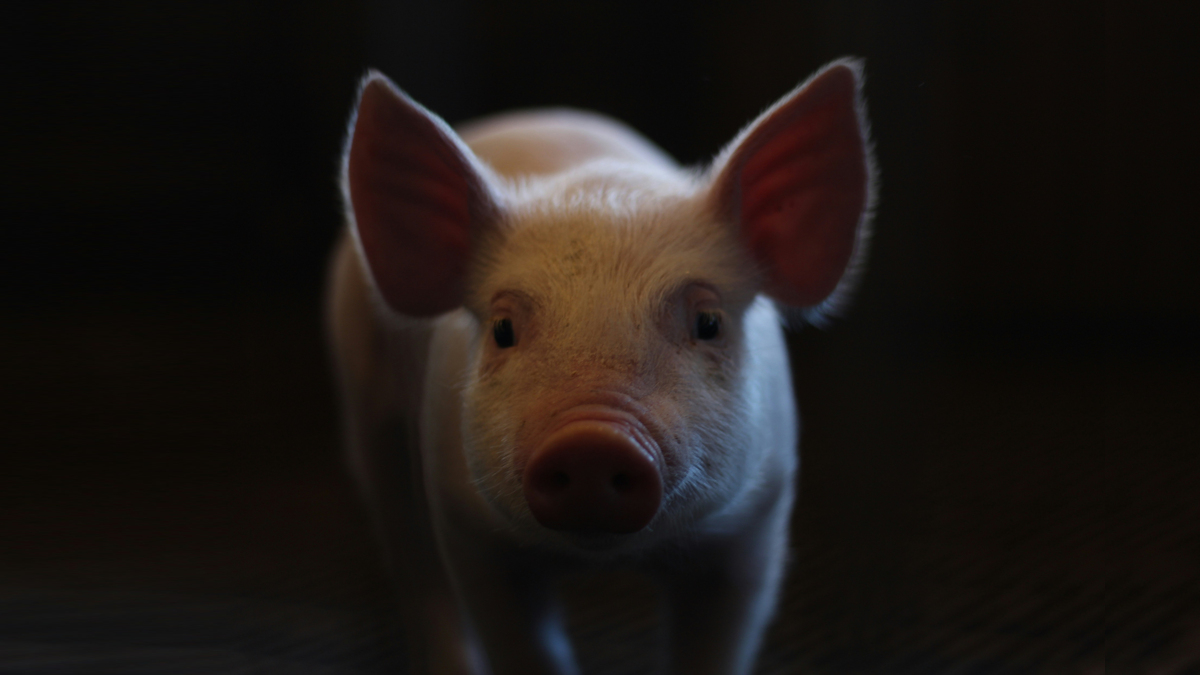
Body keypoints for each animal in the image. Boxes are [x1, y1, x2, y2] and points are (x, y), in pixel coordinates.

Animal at [326, 58, 875, 675]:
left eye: (708, 322)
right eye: (502, 329)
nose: (591, 441)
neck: (607, 560)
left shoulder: (757, 523)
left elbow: (715, 643)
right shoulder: (468, 528)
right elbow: (524, 643)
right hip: (370, 411)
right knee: (413, 562)